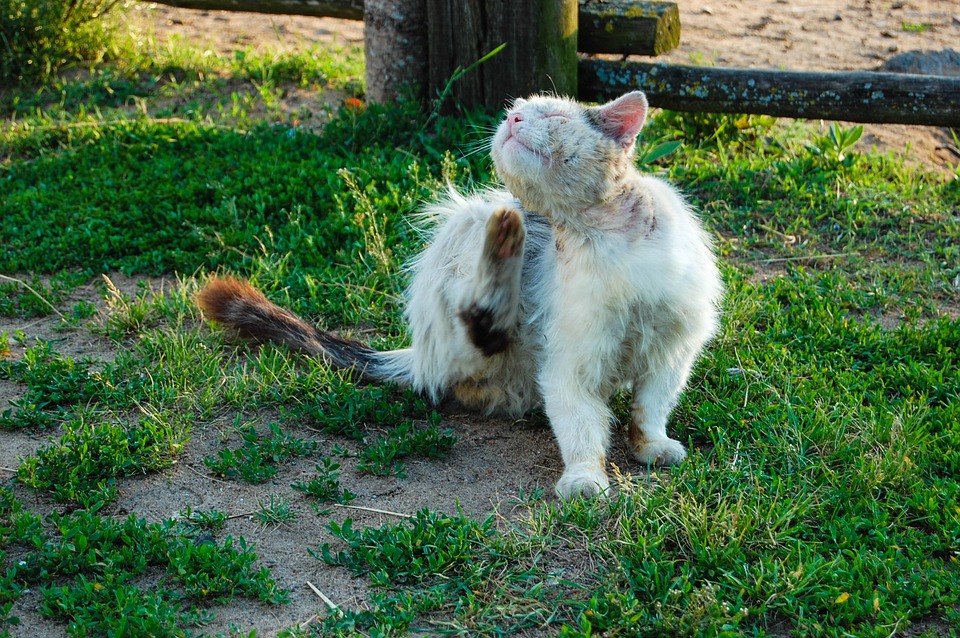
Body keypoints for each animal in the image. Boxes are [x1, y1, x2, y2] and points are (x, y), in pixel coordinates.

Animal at [199, 91, 724, 500]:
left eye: (552, 116)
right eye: (516, 111)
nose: (512, 120)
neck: (600, 236)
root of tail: (417, 354)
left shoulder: (673, 351)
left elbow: (650, 408)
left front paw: (652, 445)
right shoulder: (570, 364)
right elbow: (580, 428)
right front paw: (584, 478)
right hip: (468, 223)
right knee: (476, 323)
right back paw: (504, 243)